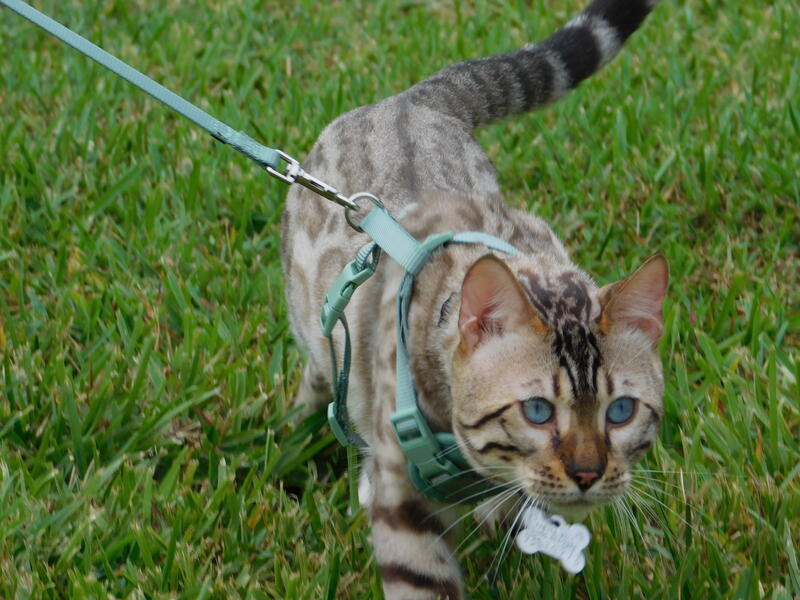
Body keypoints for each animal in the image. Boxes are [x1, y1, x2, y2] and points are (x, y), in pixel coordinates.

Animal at [280, 0, 667, 597]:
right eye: (538, 411)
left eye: (620, 411)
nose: (587, 473)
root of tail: (411, 100)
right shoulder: (406, 502)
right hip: (316, 330)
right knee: (320, 379)